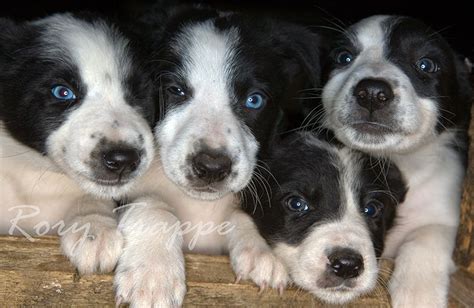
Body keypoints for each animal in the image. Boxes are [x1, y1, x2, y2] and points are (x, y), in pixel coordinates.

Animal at [112, 6, 326, 306]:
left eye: (254, 100)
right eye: (175, 90)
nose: (212, 167)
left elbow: (239, 214)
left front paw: (259, 251)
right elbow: (153, 204)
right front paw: (153, 274)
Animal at [320, 15, 472, 308]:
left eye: (426, 64)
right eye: (344, 57)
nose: (371, 92)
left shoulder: (444, 216)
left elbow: (426, 236)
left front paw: (419, 293)